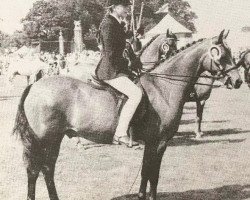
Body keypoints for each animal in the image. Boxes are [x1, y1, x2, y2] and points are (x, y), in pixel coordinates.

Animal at [13, 30, 242, 200]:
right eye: (222, 55)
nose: (238, 80)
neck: (164, 87)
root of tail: (34, 85)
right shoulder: (158, 142)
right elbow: (153, 174)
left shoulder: (153, 143)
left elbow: (146, 172)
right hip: (45, 139)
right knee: (37, 169)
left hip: (53, 139)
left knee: (45, 169)